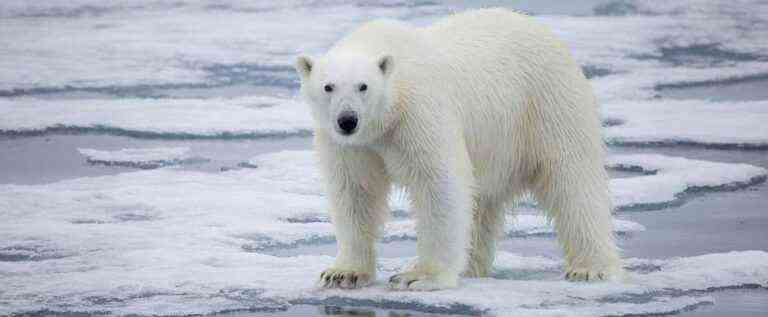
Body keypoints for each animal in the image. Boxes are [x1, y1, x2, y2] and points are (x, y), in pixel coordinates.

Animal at [294, 8, 624, 288]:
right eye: (328, 86)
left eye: (363, 86)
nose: (347, 120)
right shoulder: (349, 145)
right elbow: (355, 192)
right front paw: (343, 273)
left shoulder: (418, 114)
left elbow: (438, 183)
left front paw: (420, 276)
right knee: (482, 204)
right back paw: (470, 266)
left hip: (547, 105)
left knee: (572, 181)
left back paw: (590, 267)